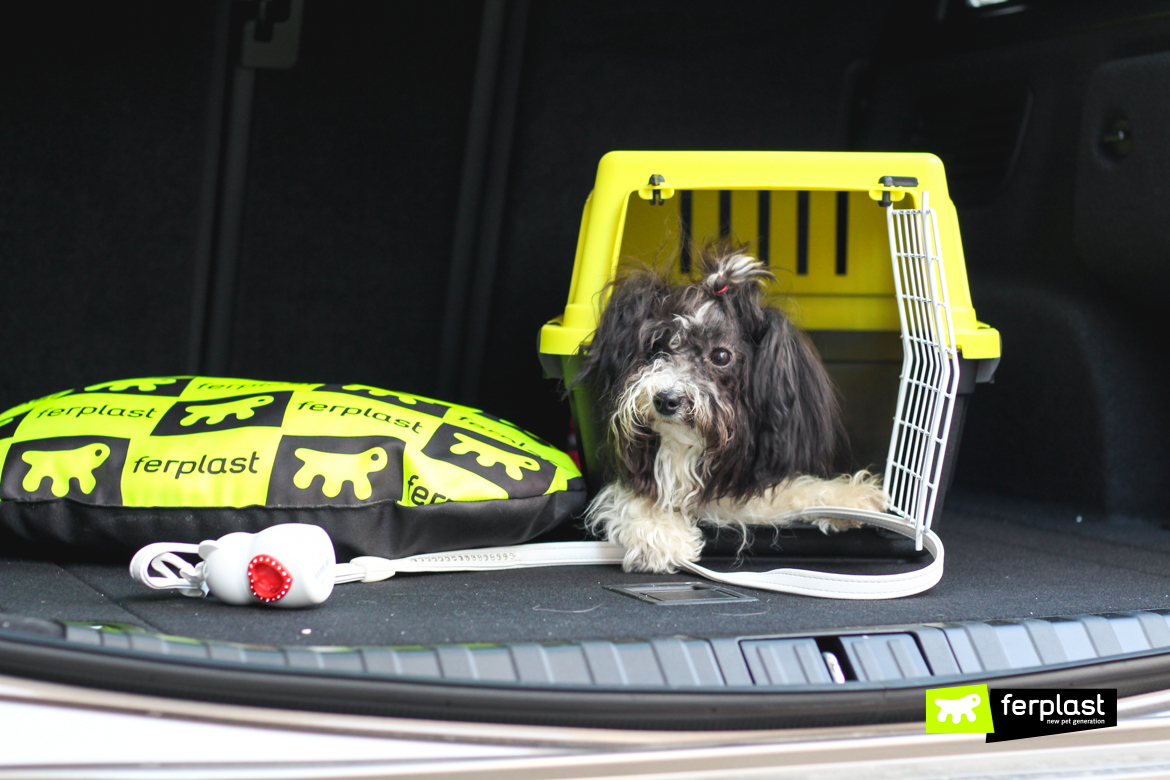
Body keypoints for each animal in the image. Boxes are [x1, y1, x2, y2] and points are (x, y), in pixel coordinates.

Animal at [575, 244, 884, 573]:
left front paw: (849, 498)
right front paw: (661, 533)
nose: (666, 399)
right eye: (658, 346)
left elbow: (792, 490)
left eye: (721, 356)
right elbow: (637, 491)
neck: (686, 447)